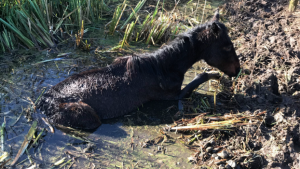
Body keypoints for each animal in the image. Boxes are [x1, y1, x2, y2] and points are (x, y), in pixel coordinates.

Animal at [37, 10, 239, 129]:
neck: (163, 67)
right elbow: (198, 78)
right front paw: (215, 75)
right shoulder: (173, 96)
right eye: (228, 46)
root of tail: (43, 105)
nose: (237, 70)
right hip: (88, 116)